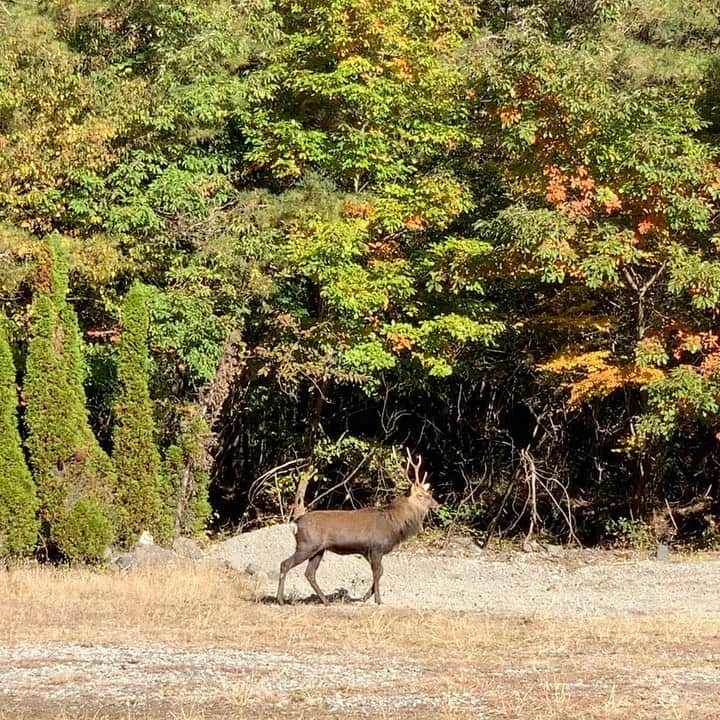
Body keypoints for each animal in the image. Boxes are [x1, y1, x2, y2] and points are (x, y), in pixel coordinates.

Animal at [276, 452, 438, 604]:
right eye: (420, 495)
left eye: (428, 493)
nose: (436, 504)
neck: (394, 524)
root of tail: (295, 524)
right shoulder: (376, 547)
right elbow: (377, 572)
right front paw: (378, 600)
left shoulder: (367, 550)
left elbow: (380, 572)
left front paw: (365, 597)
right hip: (306, 545)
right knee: (285, 564)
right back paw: (280, 600)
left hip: (318, 549)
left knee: (309, 573)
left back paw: (325, 601)